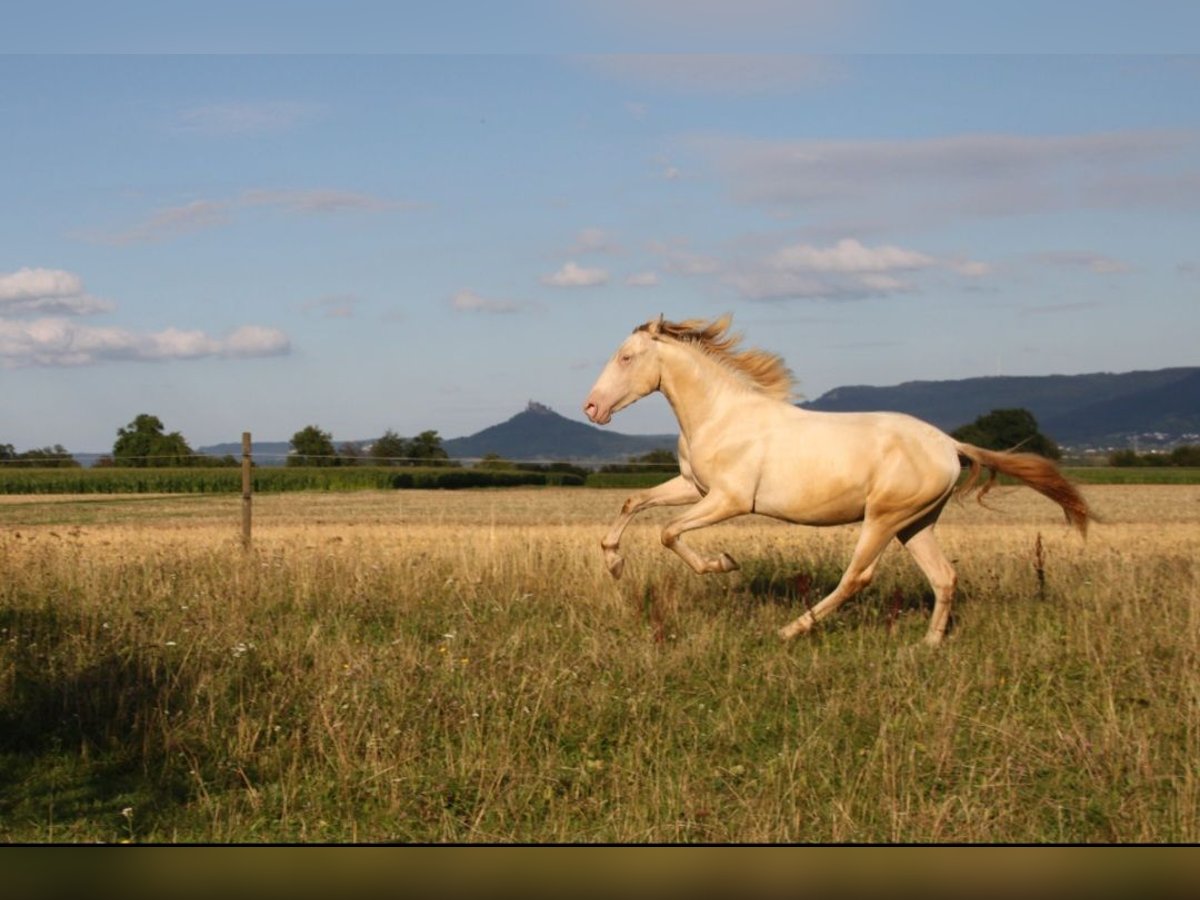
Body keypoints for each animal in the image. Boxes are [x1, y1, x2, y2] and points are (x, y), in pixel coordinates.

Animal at [580, 316, 1089, 648]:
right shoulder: (693, 487)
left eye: (626, 357)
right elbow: (633, 501)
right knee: (944, 577)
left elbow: (668, 532)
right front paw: (614, 563)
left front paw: (723, 563)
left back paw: (792, 629)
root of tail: (950, 445)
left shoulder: (729, 500)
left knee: (857, 576)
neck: (721, 415)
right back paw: (927, 645)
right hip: (916, 523)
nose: (591, 407)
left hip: (884, 518)